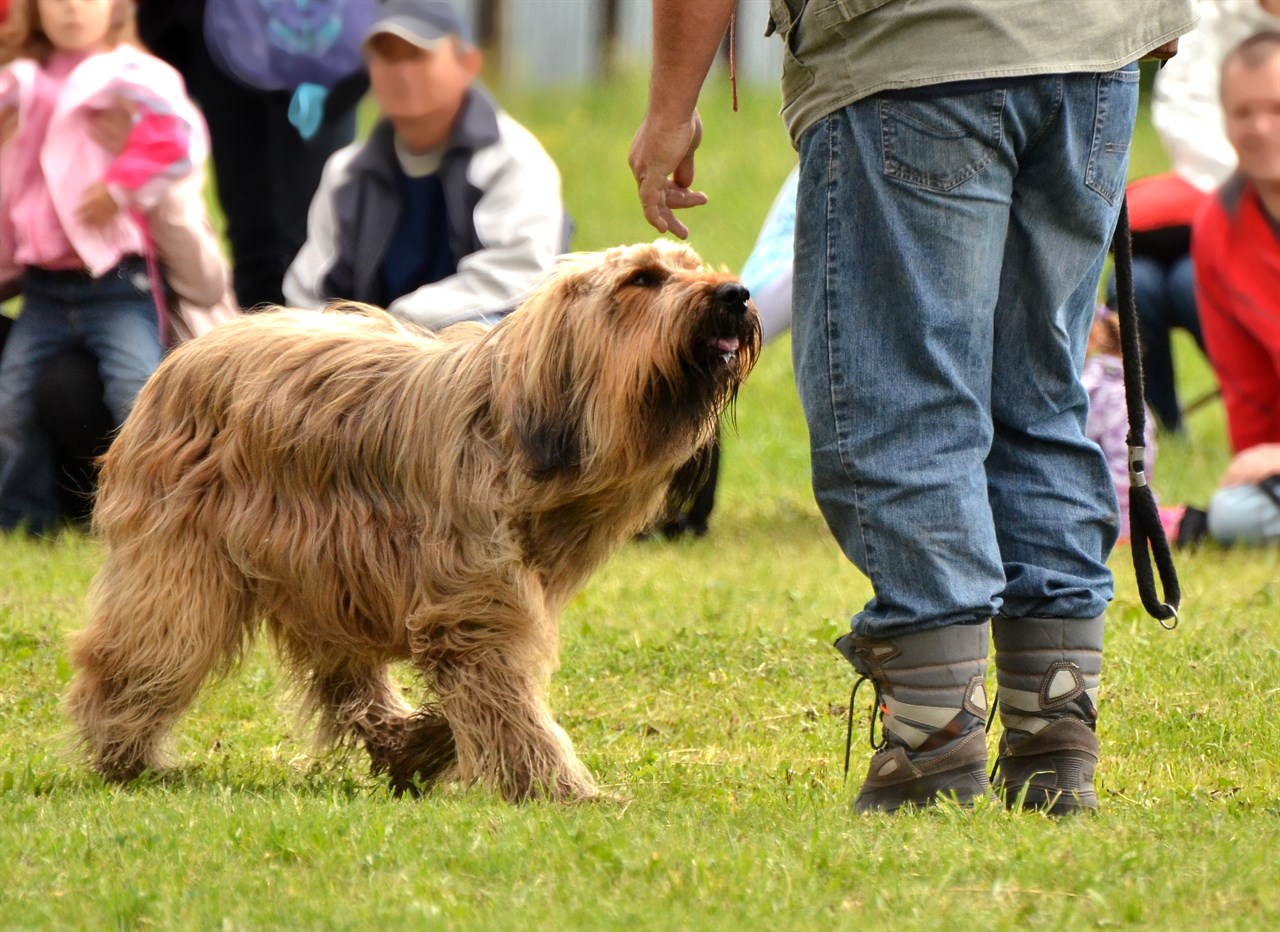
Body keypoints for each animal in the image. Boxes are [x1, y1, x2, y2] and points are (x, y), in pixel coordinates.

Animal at [67, 240, 757, 798]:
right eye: (643, 279)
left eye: (692, 265)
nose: (735, 293)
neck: (512, 419)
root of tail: (183, 355)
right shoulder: (471, 595)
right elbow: (501, 687)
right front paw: (556, 786)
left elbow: (485, 687)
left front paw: (441, 743)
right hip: (187, 558)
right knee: (146, 647)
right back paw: (125, 752)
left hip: (324, 569)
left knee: (344, 674)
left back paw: (404, 745)